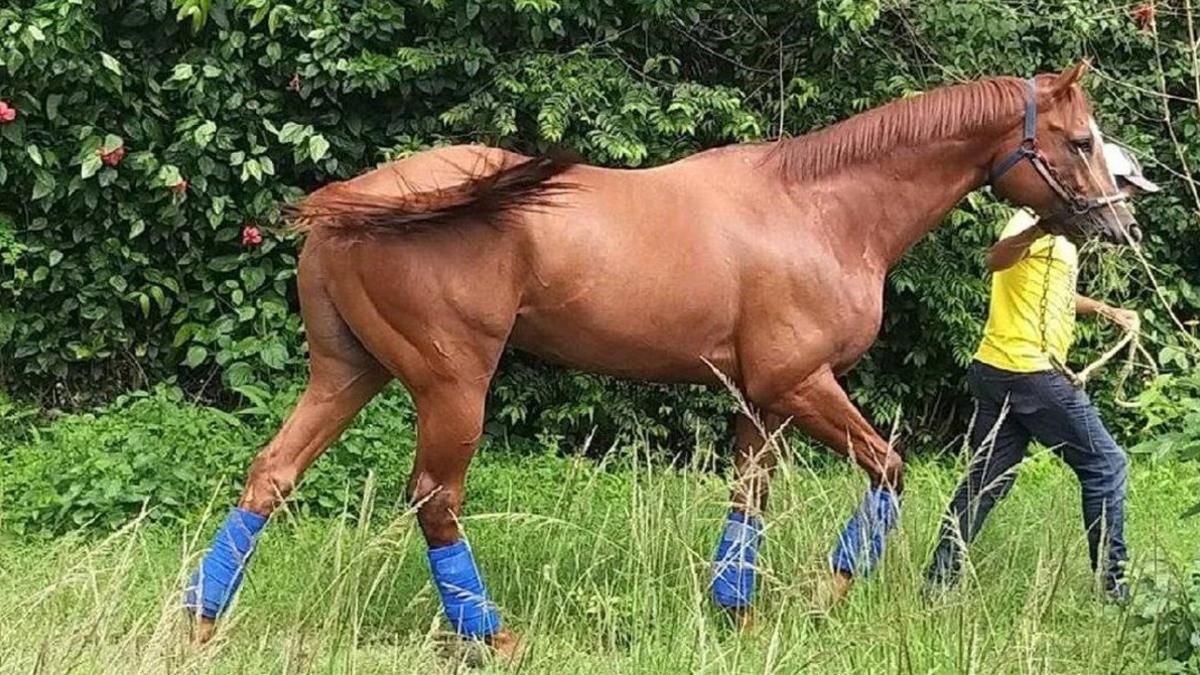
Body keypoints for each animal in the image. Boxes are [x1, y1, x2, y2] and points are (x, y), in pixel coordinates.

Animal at [184, 64, 1132, 653]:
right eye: (1081, 140)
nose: (1121, 224)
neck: (819, 208)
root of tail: (355, 200)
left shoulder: (759, 399)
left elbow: (748, 502)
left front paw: (739, 614)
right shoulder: (801, 383)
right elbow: (889, 470)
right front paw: (825, 593)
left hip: (347, 374)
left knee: (271, 474)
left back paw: (200, 621)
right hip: (452, 383)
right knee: (435, 499)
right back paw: (492, 634)